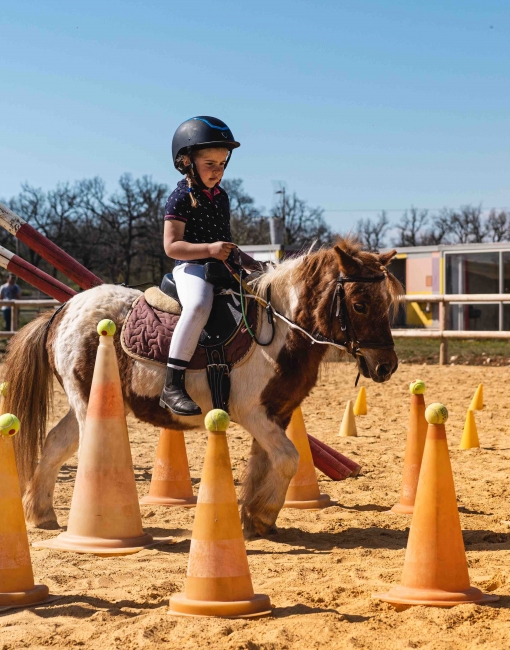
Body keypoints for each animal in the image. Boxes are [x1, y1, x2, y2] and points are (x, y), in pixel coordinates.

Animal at [3, 238, 402, 536]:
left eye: (386, 302)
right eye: (360, 304)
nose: (386, 365)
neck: (277, 329)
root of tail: (62, 311)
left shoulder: (278, 414)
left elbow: (265, 463)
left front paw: (255, 516)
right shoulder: (253, 413)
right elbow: (289, 459)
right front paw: (260, 516)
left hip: (86, 401)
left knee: (56, 443)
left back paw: (41, 514)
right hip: (91, 404)